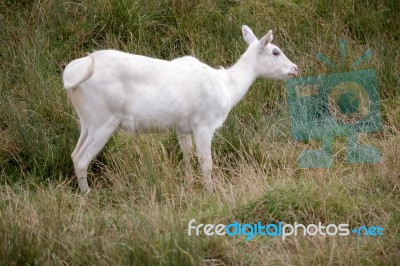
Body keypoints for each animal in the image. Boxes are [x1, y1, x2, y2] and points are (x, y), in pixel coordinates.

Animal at [62, 25, 298, 193]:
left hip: (87, 121)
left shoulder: (182, 127)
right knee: (82, 159)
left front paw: (189, 183)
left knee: (73, 154)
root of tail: (70, 74)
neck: (227, 86)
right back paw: (88, 195)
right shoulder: (204, 125)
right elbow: (206, 162)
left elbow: (186, 154)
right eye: (276, 51)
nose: (295, 68)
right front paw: (210, 193)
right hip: (104, 120)